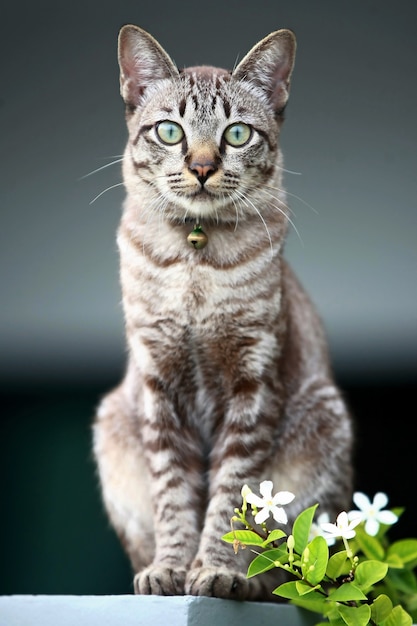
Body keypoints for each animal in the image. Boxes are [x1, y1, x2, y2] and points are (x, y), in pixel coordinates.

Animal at [92, 25, 352, 600]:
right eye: (170, 131)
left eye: (236, 135)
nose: (203, 167)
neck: (195, 259)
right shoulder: (159, 385)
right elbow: (173, 497)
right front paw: (171, 567)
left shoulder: (252, 384)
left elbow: (234, 502)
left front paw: (216, 572)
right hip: (113, 423)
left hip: (325, 423)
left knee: (301, 565)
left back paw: (257, 582)